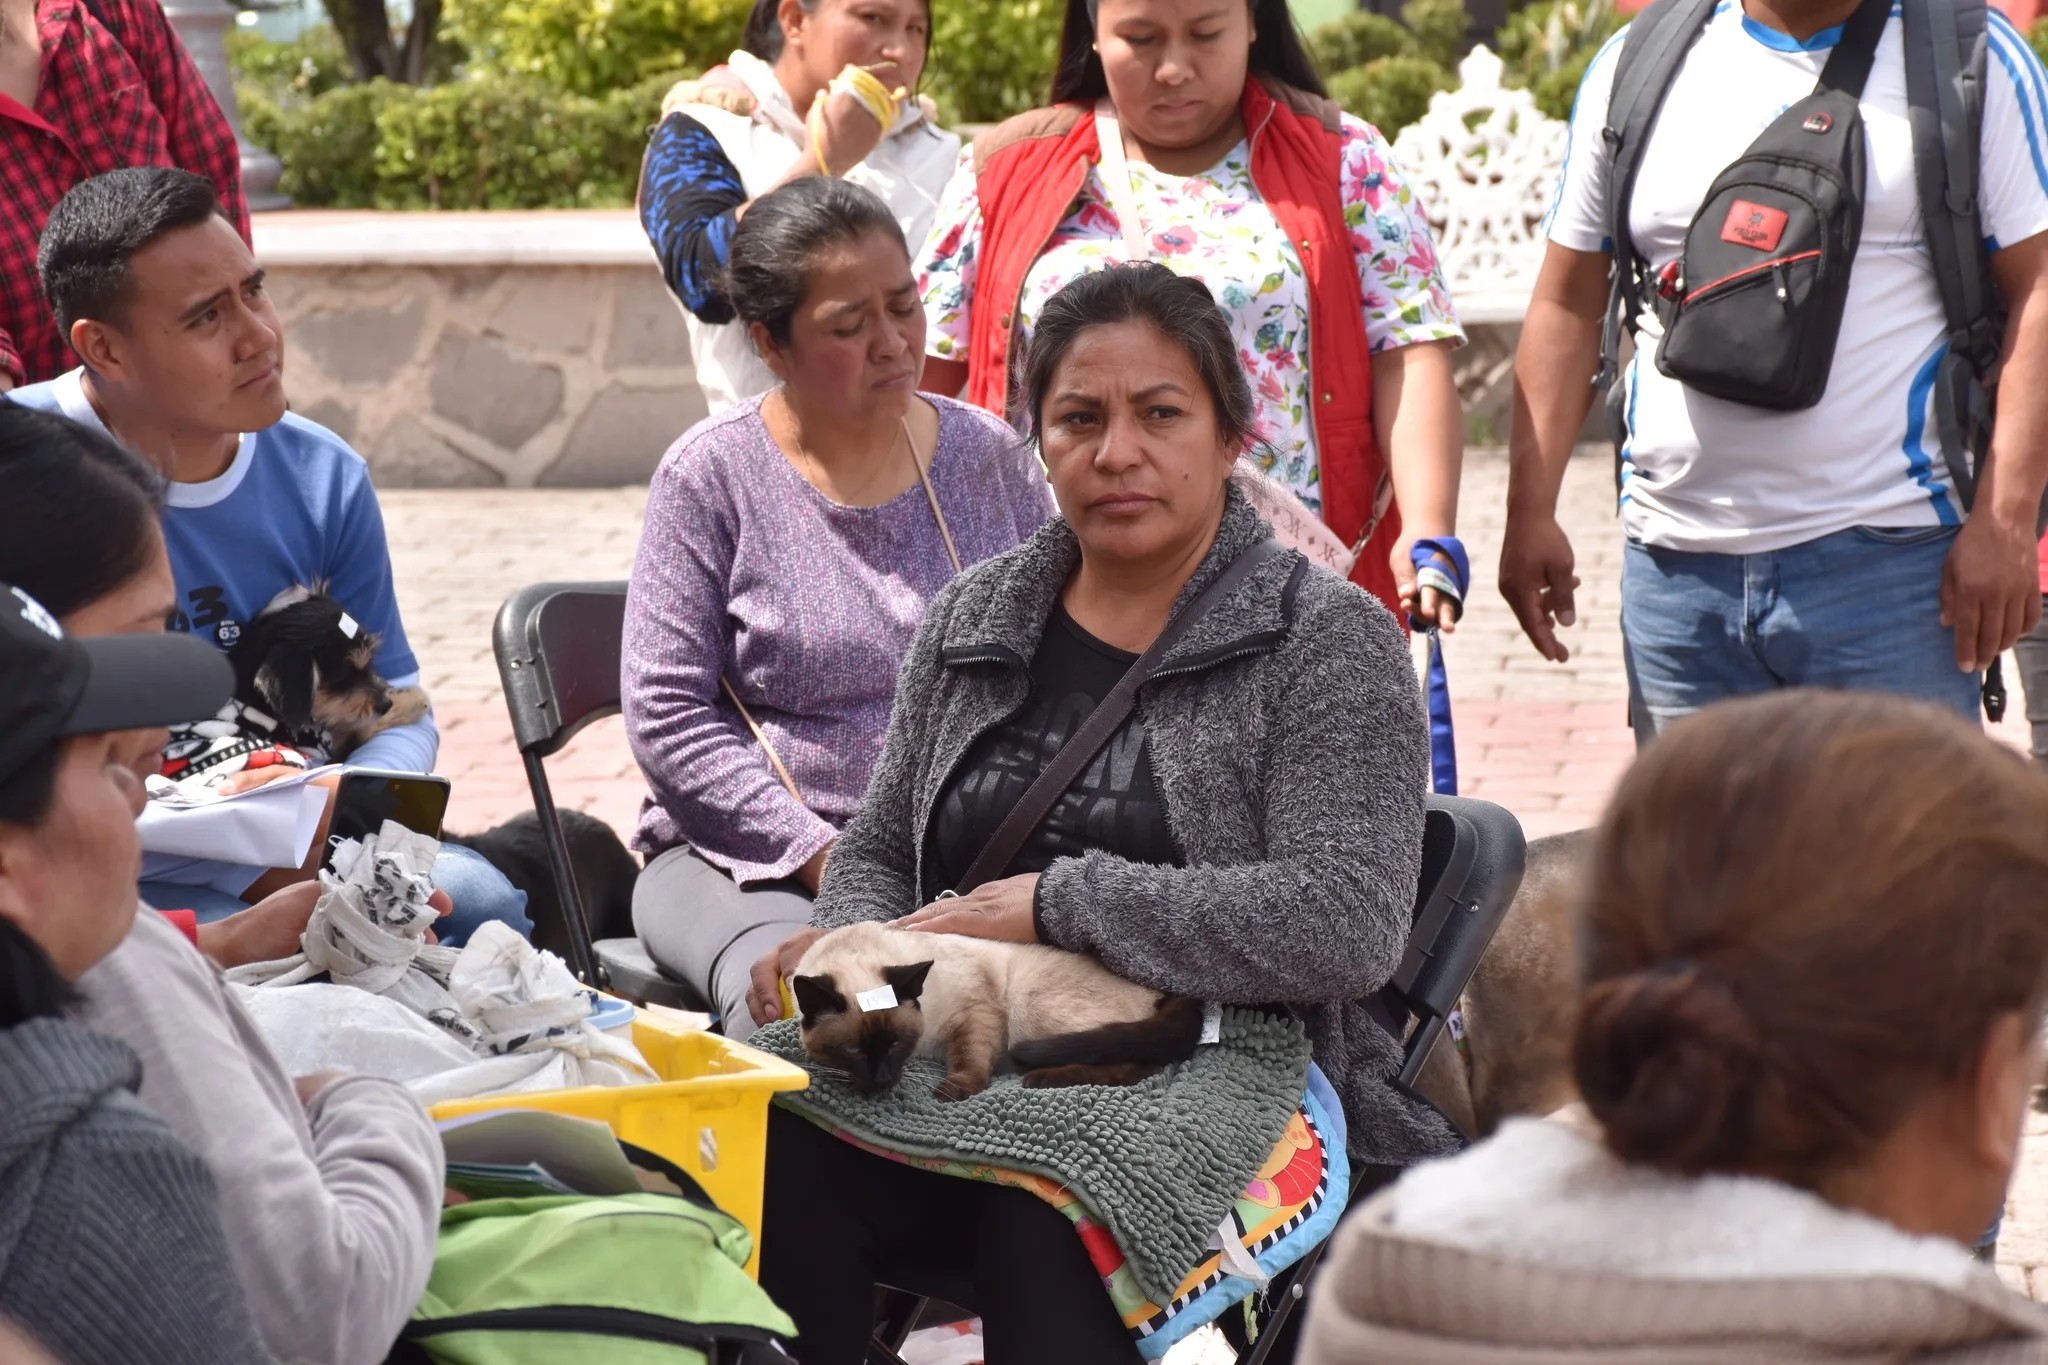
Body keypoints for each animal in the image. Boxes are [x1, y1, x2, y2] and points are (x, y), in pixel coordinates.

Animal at [782, 916, 1196, 1096]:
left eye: (897, 1043)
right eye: (852, 1050)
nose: (882, 1081)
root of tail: (1164, 983)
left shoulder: (976, 1013)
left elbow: (970, 1060)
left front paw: (952, 1090)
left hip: (1033, 1006)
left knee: (1136, 1064)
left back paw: (1041, 1079)